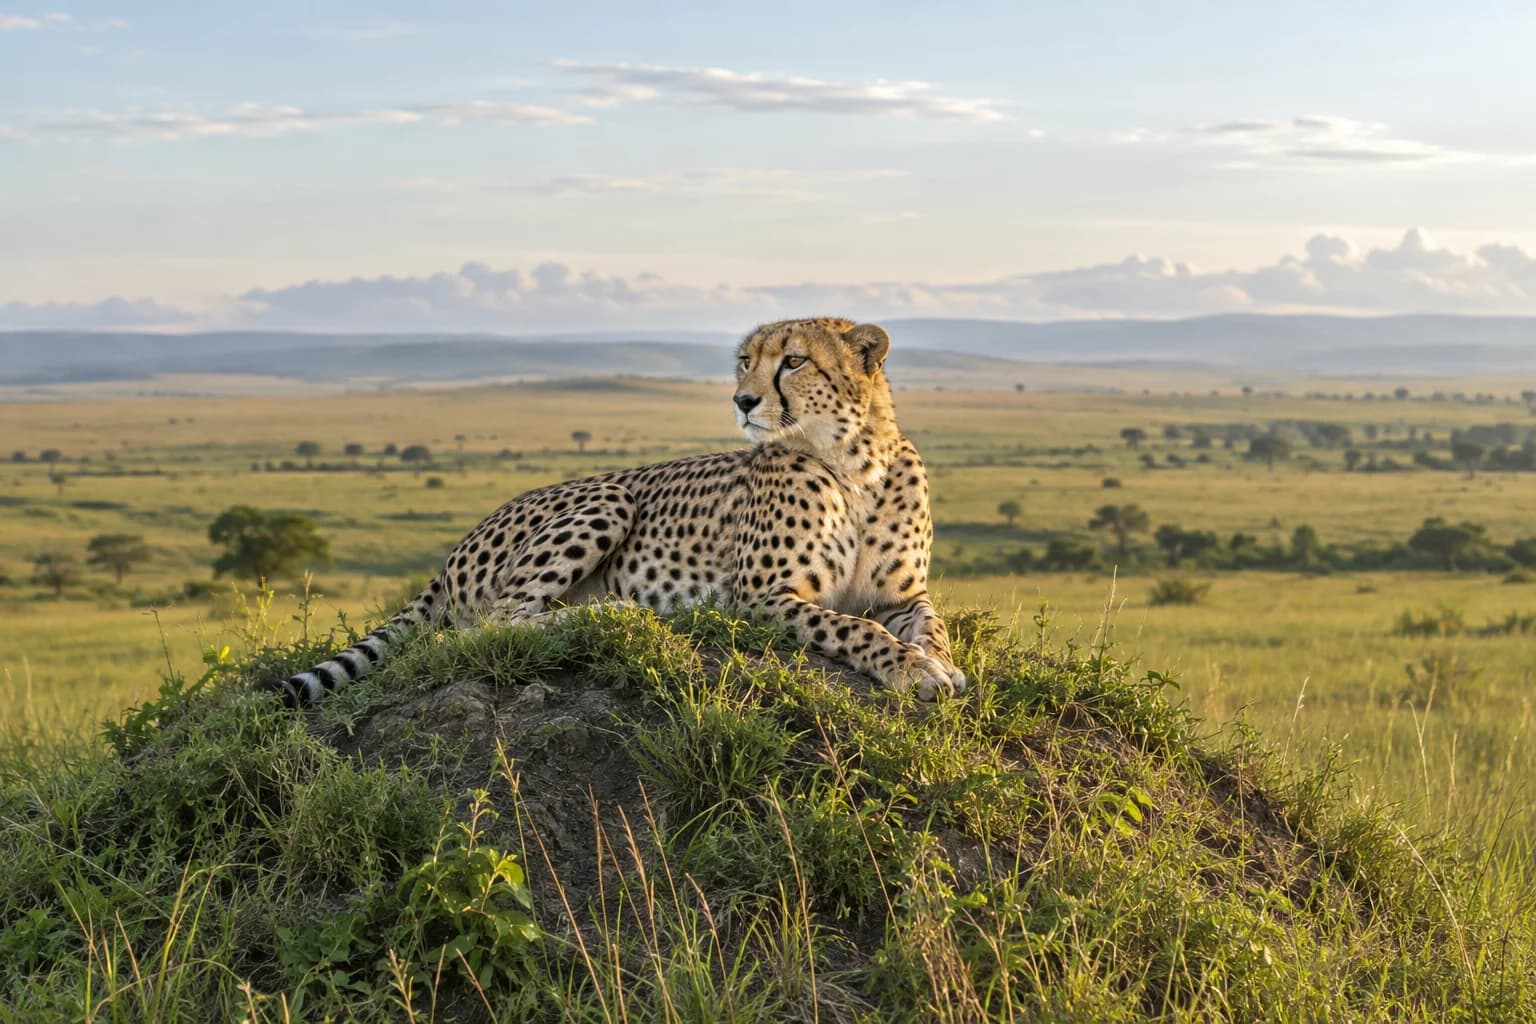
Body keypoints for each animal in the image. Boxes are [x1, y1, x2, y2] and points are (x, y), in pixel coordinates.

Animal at [264, 317, 967, 707]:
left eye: (794, 360)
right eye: (745, 361)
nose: (741, 400)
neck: (854, 461)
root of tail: (454, 550)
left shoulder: (902, 594)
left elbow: (929, 625)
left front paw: (938, 662)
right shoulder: (764, 596)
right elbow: (853, 629)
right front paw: (912, 670)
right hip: (611, 496)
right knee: (493, 623)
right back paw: (610, 611)